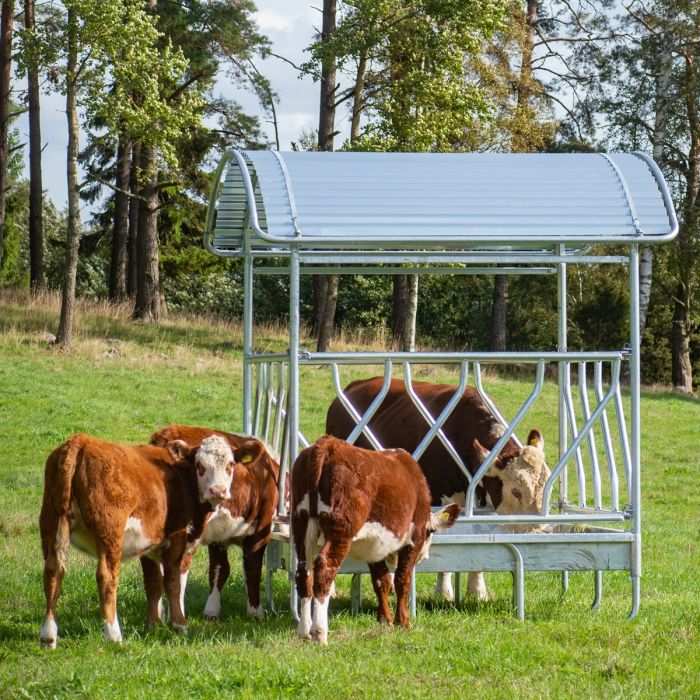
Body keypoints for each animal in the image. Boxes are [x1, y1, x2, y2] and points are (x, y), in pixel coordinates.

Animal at [39, 434, 235, 648]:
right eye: (200, 465)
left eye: (230, 464)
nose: (218, 491)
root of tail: (81, 440)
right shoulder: (177, 539)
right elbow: (173, 582)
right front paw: (179, 625)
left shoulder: (148, 545)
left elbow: (153, 584)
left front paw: (154, 625)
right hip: (110, 534)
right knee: (106, 578)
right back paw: (113, 634)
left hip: (51, 524)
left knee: (53, 572)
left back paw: (48, 635)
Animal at [150, 424, 278, 620]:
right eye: (199, 465)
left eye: (231, 464)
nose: (218, 490)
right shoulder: (261, 529)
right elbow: (253, 569)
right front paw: (256, 612)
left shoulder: (219, 537)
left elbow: (219, 569)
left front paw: (212, 610)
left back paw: (159, 615)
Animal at [290, 438, 460, 644]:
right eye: (430, 532)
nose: (424, 556)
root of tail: (327, 444)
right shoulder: (413, 538)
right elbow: (402, 579)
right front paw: (402, 621)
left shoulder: (372, 546)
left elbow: (381, 580)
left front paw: (384, 620)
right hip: (341, 529)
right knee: (325, 568)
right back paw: (319, 632)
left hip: (301, 525)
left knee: (303, 572)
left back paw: (303, 630)